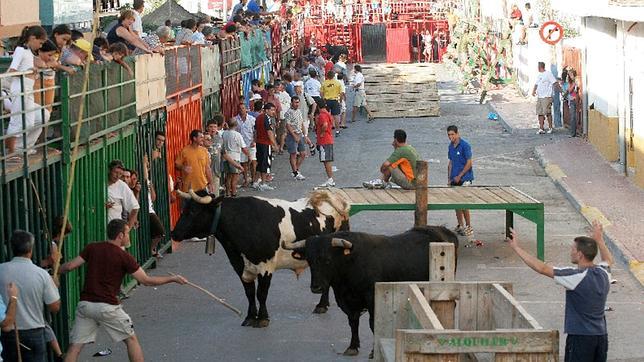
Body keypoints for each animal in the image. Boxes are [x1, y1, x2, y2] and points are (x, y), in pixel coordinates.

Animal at [286, 226, 458, 356]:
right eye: (309, 260)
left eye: (327, 259)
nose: (316, 287)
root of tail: (441, 230)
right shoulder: (347, 301)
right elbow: (353, 321)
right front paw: (353, 346)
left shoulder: (372, 299)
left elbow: (373, 324)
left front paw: (373, 351)